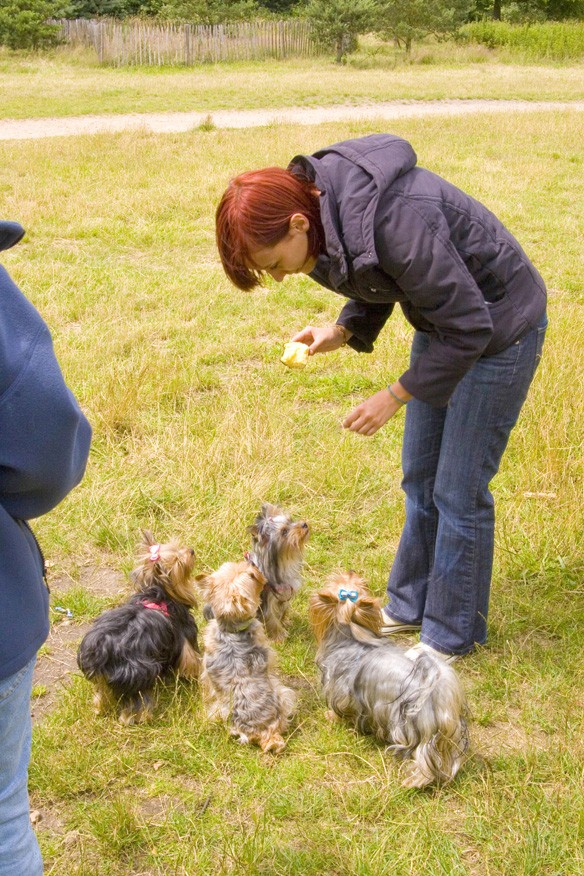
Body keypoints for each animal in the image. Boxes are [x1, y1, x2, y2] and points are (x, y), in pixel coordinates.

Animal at [77, 528, 201, 724]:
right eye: (178, 560)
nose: (191, 551)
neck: (157, 592)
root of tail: (102, 651)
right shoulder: (183, 632)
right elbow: (191, 659)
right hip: (138, 672)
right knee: (136, 701)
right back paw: (138, 718)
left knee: (101, 692)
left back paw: (99, 709)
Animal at [246, 504, 310, 640]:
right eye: (284, 532)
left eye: (291, 520)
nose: (304, 524)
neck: (284, 562)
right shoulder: (268, 599)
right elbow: (272, 618)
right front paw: (279, 636)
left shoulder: (285, 594)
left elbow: (283, 610)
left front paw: (285, 622)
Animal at [310, 576, 470, 788]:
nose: (352, 573)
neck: (351, 637)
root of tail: (437, 691)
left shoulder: (341, 692)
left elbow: (340, 710)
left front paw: (331, 716)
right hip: (447, 732)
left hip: (414, 727)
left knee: (424, 759)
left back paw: (414, 782)